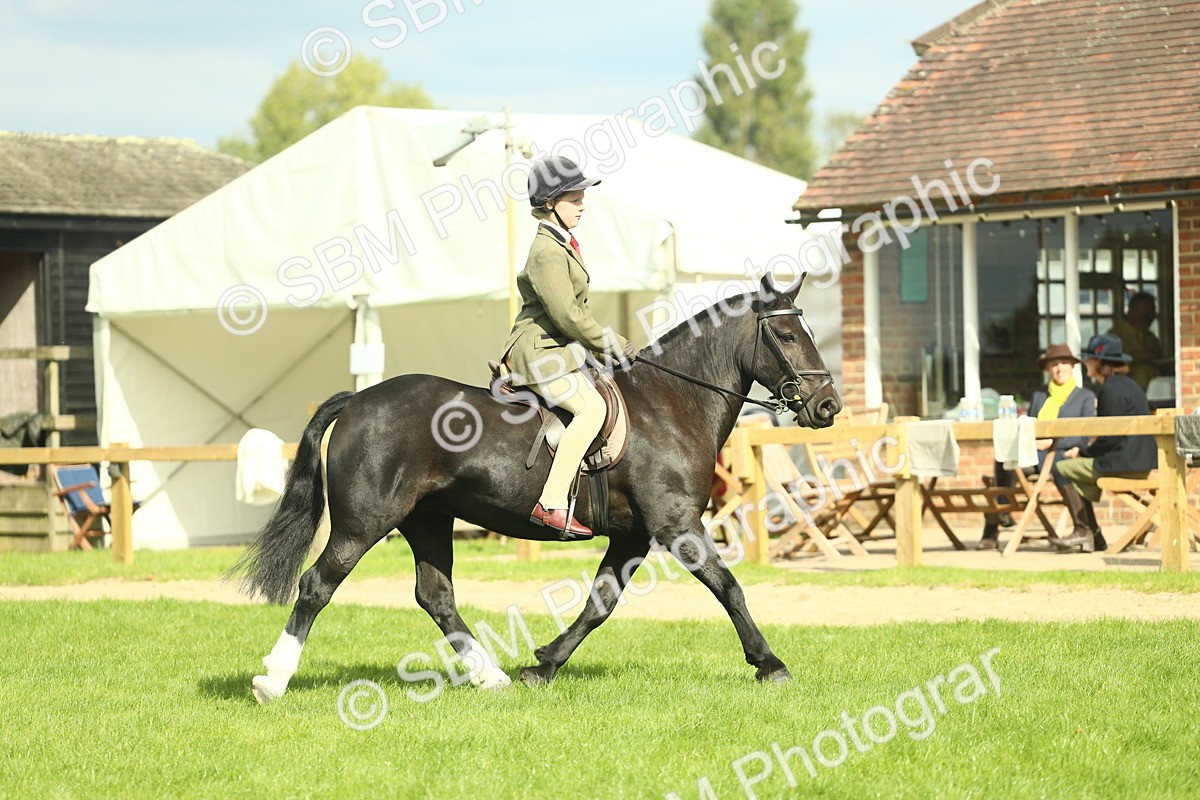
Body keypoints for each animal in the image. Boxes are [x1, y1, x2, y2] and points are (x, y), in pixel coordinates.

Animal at [230, 273, 842, 702]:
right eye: (788, 334)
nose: (828, 406)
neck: (670, 403)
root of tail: (359, 398)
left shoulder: (633, 537)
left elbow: (600, 604)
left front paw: (542, 664)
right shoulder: (677, 527)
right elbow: (729, 587)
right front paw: (770, 664)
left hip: (428, 519)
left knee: (435, 596)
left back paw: (491, 677)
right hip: (364, 523)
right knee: (317, 585)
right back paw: (273, 681)